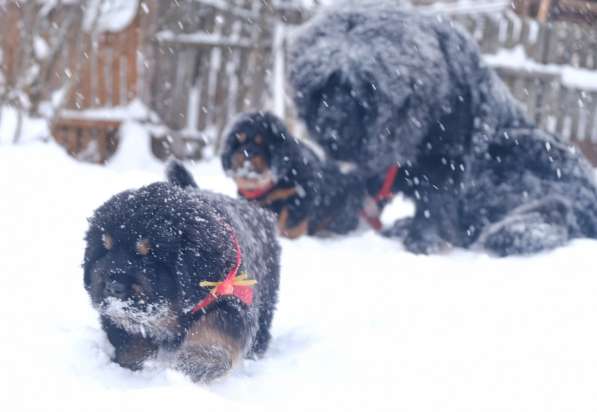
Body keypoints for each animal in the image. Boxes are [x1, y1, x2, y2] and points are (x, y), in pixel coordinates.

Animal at [82, 161, 280, 384]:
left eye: (149, 257)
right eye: (105, 250)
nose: (113, 286)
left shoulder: (232, 298)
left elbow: (216, 329)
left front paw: (197, 363)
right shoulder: (116, 312)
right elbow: (129, 337)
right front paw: (133, 365)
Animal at [222, 111, 366, 238]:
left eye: (262, 144)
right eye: (238, 142)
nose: (247, 152)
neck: (270, 185)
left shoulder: (299, 193)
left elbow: (291, 222)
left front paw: (286, 236)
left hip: (343, 216)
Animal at [288, 1, 596, 256]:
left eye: (356, 92)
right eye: (321, 91)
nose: (329, 128)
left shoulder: (447, 159)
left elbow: (433, 201)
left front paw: (421, 241)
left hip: (519, 147)